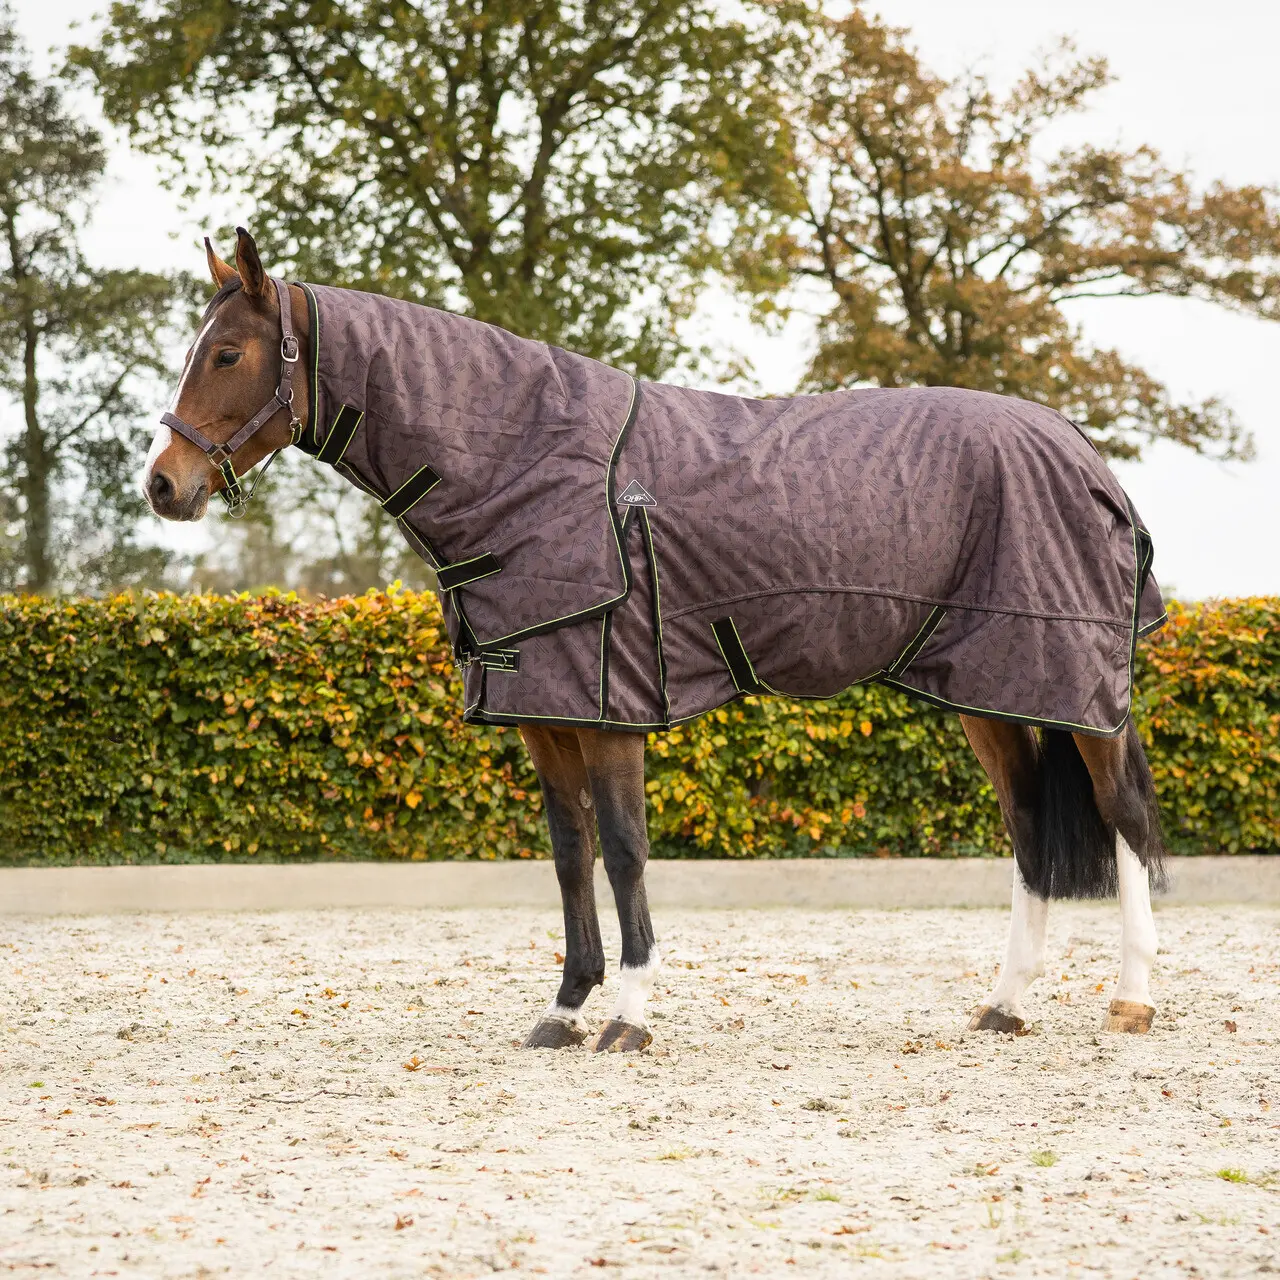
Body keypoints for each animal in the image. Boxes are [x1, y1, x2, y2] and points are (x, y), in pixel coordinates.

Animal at [142, 228, 1167, 1052]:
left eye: (227, 352)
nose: (164, 483)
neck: (525, 460)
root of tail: (1082, 450)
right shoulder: (544, 715)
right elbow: (570, 857)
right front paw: (564, 1011)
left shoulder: (611, 712)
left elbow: (628, 850)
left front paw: (629, 1018)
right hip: (990, 688)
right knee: (1030, 828)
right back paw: (1005, 1006)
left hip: (1075, 685)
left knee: (1122, 818)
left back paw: (1132, 1002)